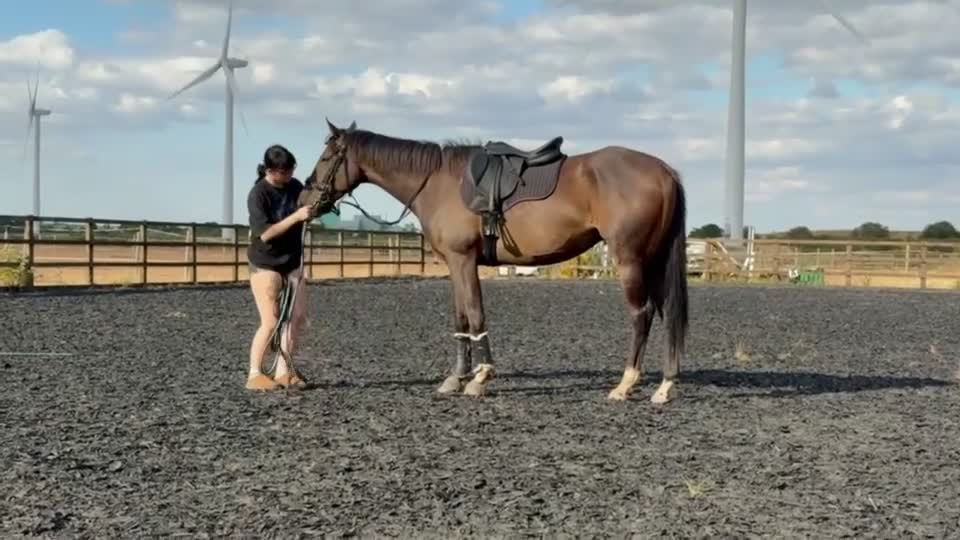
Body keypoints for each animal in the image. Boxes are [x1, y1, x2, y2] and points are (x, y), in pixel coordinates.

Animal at [298, 119, 689, 404]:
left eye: (325, 158)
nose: (305, 199)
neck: (438, 182)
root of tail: (664, 170)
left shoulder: (463, 260)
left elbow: (475, 314)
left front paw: (480, 377)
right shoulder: (454, 264)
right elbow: (460, 318)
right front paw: (457, 377)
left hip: (630, 260)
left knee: (641, 314)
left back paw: (626, 384)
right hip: (653, 260)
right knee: (666, 311)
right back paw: (665, 385)